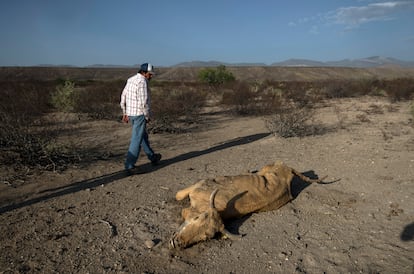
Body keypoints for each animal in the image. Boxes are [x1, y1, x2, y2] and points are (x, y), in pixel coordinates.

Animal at [170, 161, 326, 248]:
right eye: (196, 219)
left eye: (205, 237)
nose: (177, 243)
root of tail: (288, 168)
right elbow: (178, 196)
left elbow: (179, 198)